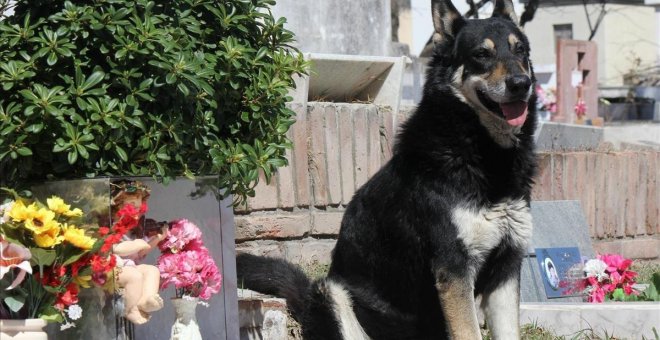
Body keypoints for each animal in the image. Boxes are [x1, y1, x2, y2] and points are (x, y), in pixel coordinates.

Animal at [237, 1, 536, 338]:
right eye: (481, 54)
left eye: (520, 50)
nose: (521, 84)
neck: (484, 151)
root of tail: (305, 302)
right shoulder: (455, 269)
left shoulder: (507, 267)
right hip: (334, 293)